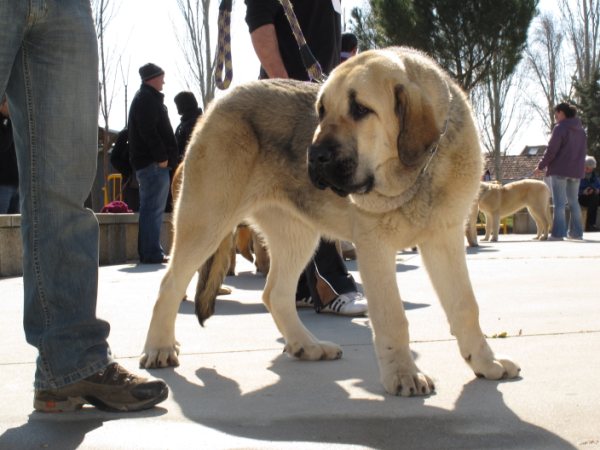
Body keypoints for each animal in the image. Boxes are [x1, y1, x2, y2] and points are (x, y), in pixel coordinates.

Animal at [142, 47, 520, 396]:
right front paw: (403, 375)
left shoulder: (444, 239)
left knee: (276, 294)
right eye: (321, 111)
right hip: (206, 221)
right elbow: (393, 317)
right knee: (169, 284)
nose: (314, 156)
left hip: (298, 236)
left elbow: (465, 305)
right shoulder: (375, 249)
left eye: (360, 110)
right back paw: (159, 347)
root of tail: (219, 103)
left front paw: (485, 362)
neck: (417, 175)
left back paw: (306, 345)